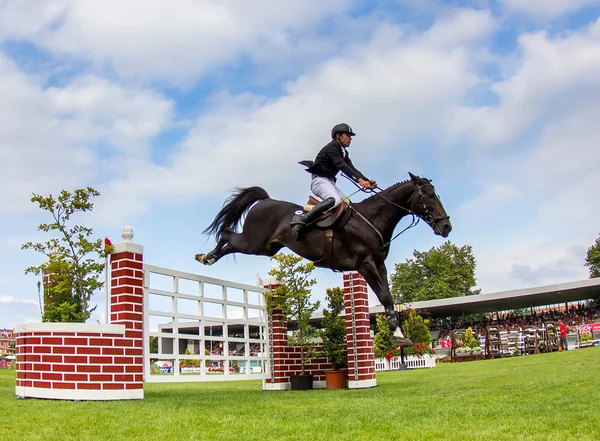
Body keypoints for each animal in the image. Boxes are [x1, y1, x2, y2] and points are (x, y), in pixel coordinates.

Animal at [195, 170, 452, 338]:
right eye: (429, 196)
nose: (446, 227)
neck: (371, 219)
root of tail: (265, 200)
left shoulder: (379, 265)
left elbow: (387, 295)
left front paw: (397, 331)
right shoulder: (366, 264)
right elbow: (384, 296)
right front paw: (398, 335)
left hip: (265, 247)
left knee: (230, 241)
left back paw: (208, 257)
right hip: (253, 242)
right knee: (227, 233)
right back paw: (206, 257)